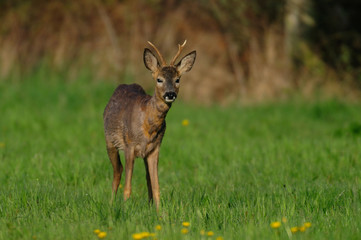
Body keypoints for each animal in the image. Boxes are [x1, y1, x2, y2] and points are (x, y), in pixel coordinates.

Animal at [102, 40, 195, 208]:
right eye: (159, 79)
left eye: (177, 79)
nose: (170, 94)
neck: (148, 125)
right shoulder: (129, 145)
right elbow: (127, 186)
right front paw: (125, 208)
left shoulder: (155, 148)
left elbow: (156, 185)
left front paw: (159, 211)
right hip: (110, 141)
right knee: (118, 171)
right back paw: (111, 203)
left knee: (146, 177)